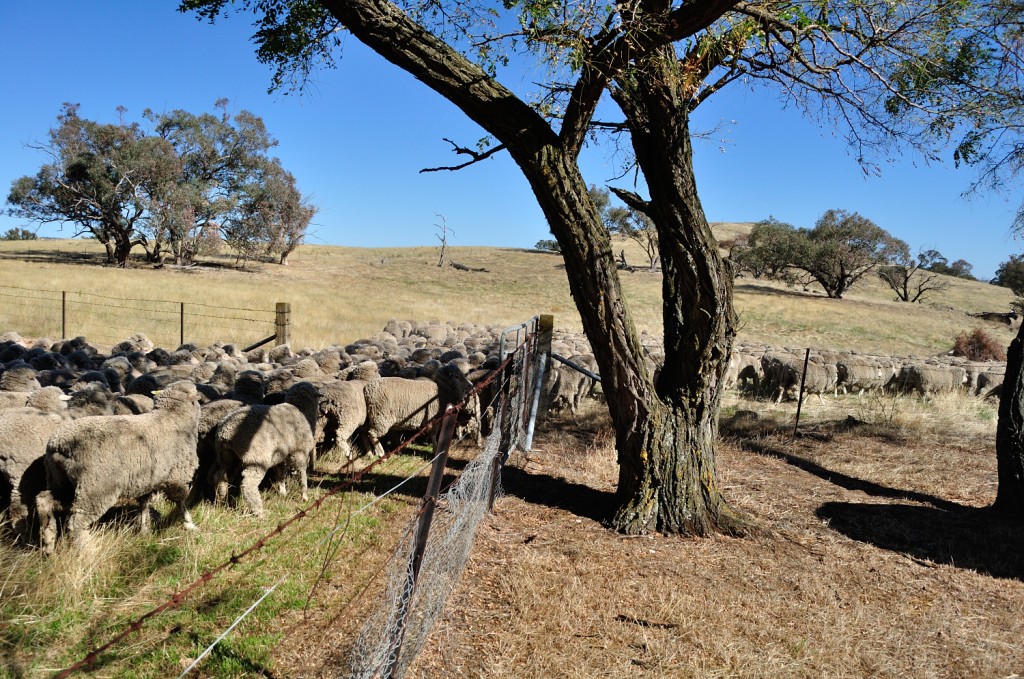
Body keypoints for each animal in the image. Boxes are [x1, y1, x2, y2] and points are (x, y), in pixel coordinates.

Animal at [35, 378, 201, 557]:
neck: (171, 417)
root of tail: (59, 445)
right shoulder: (177, 476)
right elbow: (181, 502)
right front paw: (190, 524)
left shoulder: (147, 479)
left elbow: (144, 504)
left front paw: (144, 529)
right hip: (96, 488)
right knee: (77, 521)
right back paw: (88, 550)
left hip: (61, 481)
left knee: (44, 501)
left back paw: (48, 543)